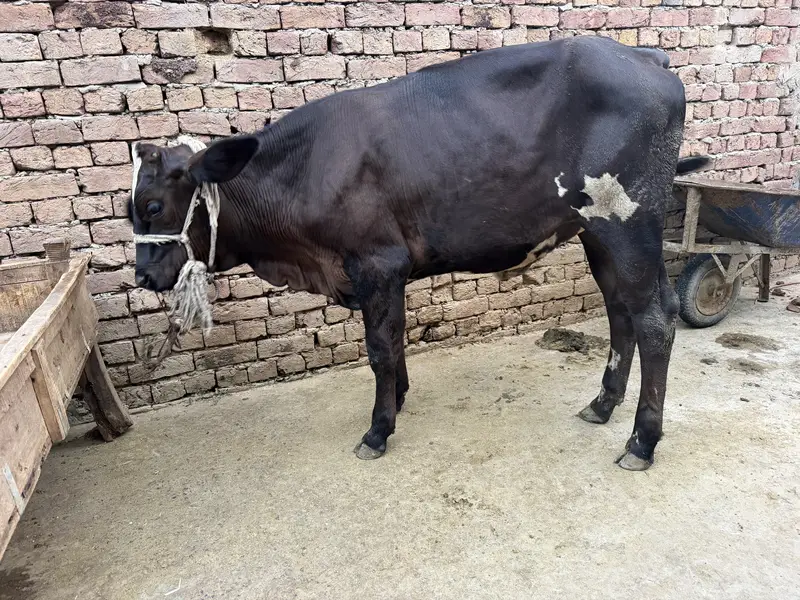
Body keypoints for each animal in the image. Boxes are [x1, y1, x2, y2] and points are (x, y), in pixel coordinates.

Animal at [129, 36, 710, 471]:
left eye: (154, 205)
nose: (142, 277)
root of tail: (642, 56)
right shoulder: (389, 273)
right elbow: (396, 339)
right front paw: (399, 400)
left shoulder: (376, 263)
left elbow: (380, 349)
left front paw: (378, 429)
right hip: (597, 231)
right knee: (621, 315)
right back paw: (603, 404)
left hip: (629, 223)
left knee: (655, 321)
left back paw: (642, 441)